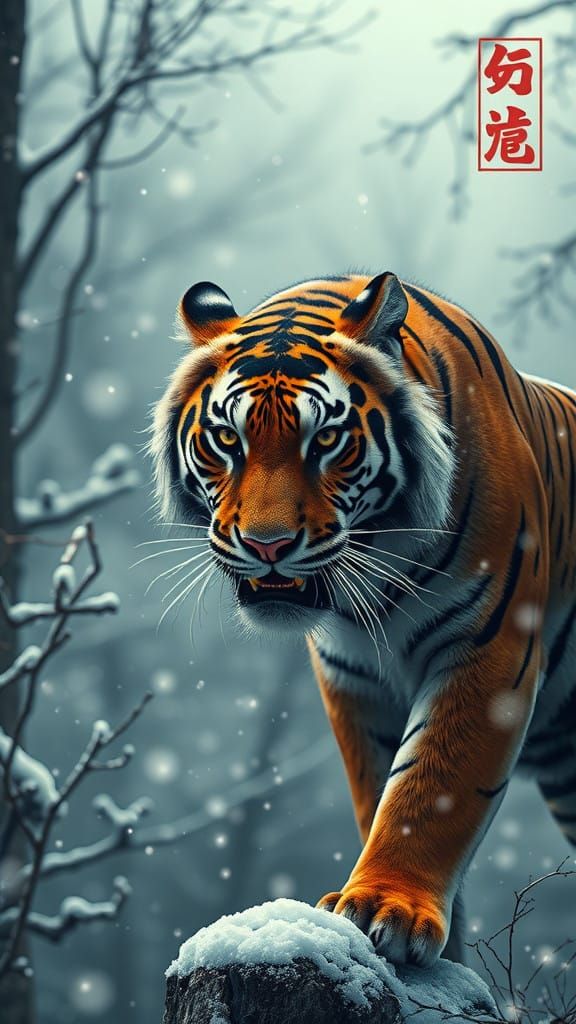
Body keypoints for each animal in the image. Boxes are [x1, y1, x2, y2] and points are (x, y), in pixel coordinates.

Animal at [151, 271, 576, 967]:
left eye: (325, 440)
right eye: (228, 440)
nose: (268, 545)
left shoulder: (489, 645)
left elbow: (432, 784)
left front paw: (387, 909)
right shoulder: (353, 673)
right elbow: (378, 787)